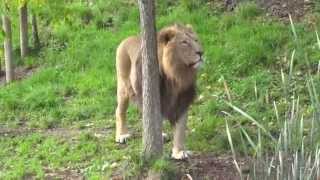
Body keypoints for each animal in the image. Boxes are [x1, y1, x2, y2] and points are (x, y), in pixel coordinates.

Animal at [116, 23, 204, 159]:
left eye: (196, 40)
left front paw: (179, 152)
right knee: (120, 111)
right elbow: (155, 119)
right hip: (123, 87)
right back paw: (122, 135)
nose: (201, 53)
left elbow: (180, 129)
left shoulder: (182, 101)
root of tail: (127, 39)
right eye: (184, 42)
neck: (177, 75)